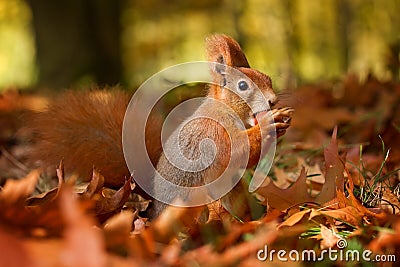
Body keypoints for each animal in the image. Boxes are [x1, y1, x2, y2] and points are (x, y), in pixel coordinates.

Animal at [29, 35, 292, 220]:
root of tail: (154, 209)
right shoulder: (211, 134)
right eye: (242, 86)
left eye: (267, 78)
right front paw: (269, 124)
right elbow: (234, 150)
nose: (272, 101)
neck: (225, 110)